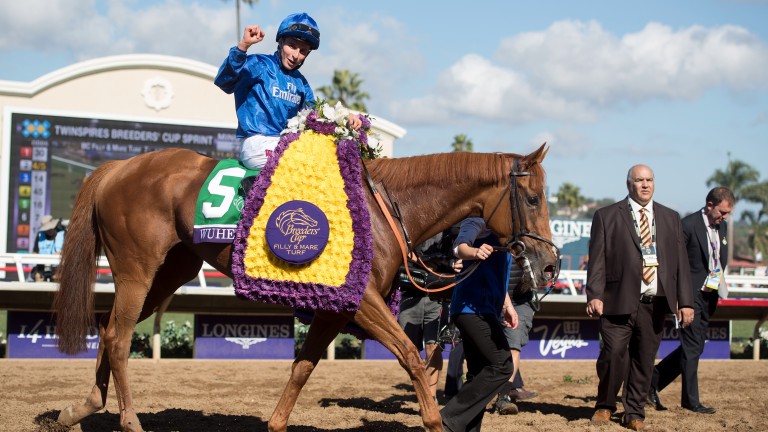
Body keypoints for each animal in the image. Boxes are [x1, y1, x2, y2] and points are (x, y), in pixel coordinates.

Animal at [54, 143, 560, 430]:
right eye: (534, 198)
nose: (552, 264)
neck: (380, 210)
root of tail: (117, 167)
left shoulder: (336, 309)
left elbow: (301, 369)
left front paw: (277, 423)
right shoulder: (363, 303)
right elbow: (414, 359)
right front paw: (436, 421)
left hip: (168, 273)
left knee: (109, 330)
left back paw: (82, 408)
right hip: (136, 269)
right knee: (120, 338)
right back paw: (130, 421)